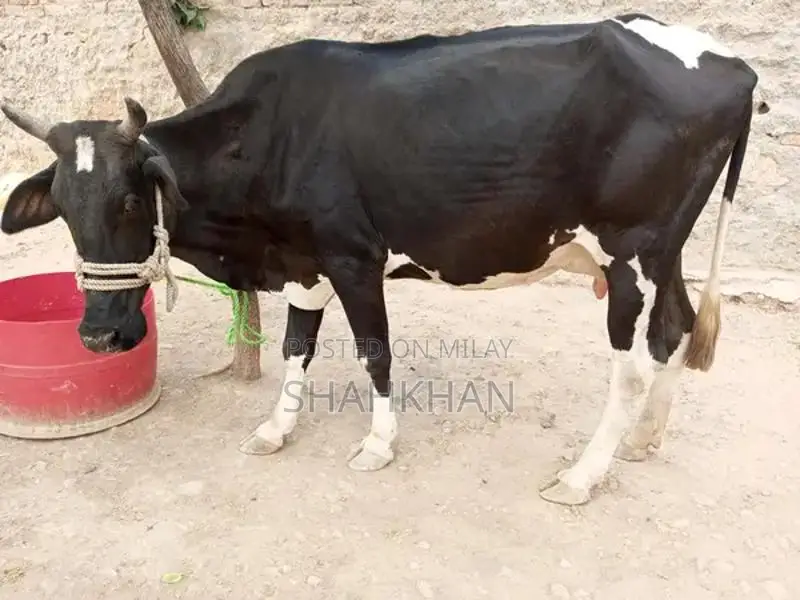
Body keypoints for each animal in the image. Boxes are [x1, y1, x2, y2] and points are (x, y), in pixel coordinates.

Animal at [0, 13, 762, 505]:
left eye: (131, 202)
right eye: (63, 206)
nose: (98, 335)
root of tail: (730, 61)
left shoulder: (353, 255)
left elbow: (375, 352)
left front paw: (377, 444)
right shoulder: (304, 259)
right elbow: (296, 345)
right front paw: (275, 428)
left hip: (631, 250)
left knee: (632, 364)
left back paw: (584, 474)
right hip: (666, 251)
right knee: (675, 327)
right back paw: (643, 441)